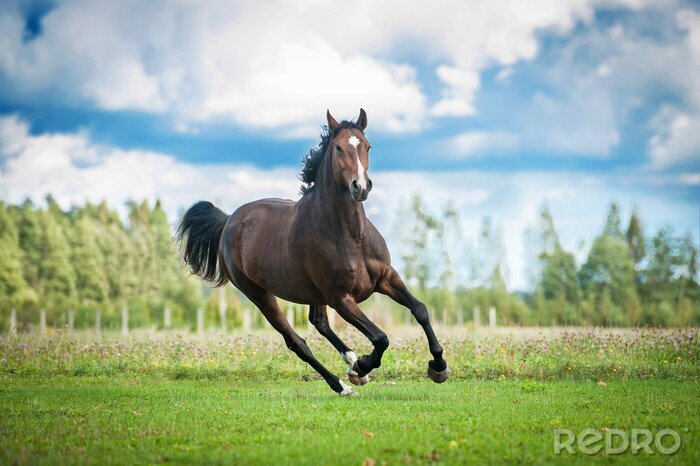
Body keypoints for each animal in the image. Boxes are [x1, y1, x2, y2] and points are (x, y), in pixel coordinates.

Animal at [176, 109, 449, 396]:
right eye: (338, 147)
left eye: (367, 145)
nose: (360, 187)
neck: (352, 237)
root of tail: (228, 221)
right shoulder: (341, 298)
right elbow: (380, 337)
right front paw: (364, 364)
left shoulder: (387, 278)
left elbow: (420, 309)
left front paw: (438, 367)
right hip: (259, 295)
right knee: (297, 342)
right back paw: (343, 383)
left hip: (313, 292)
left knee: (319, 322)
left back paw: (351, 363)